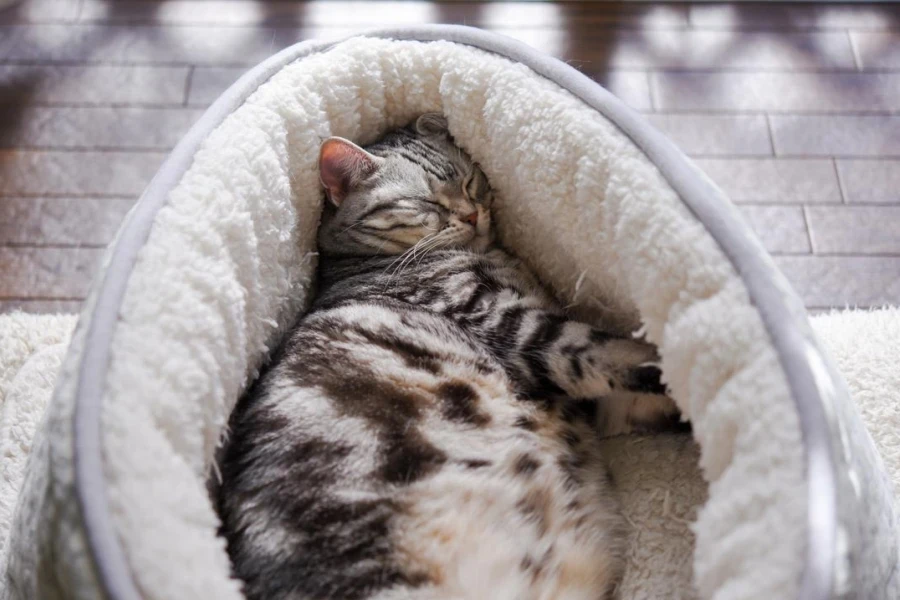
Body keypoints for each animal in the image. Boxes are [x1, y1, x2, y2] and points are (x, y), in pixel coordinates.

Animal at [220, 113, 684, 600]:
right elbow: (607, 350)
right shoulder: (511, 324)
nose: (472, 214)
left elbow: (628, 396)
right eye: (424, 202)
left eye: (470, 182)